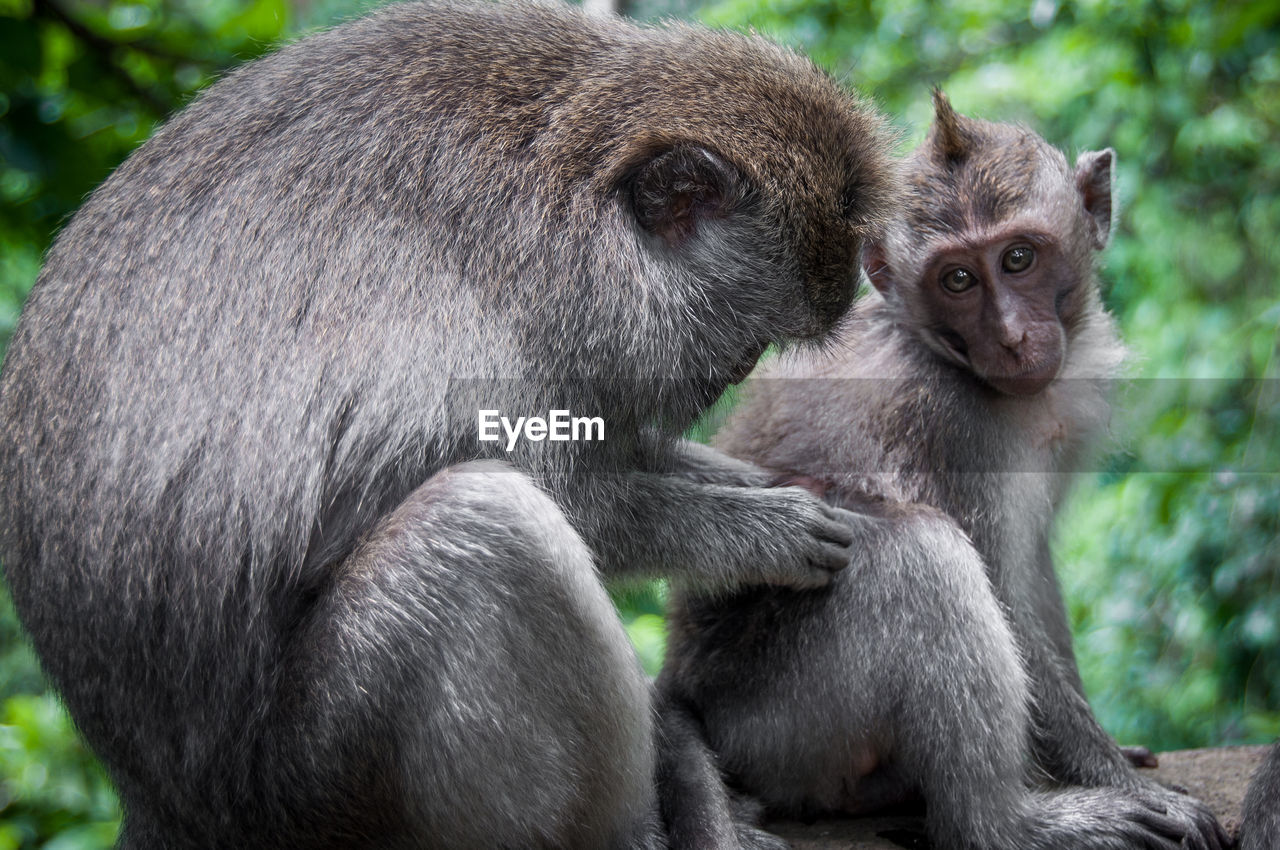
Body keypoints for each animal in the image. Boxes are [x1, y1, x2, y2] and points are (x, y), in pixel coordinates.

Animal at [0, 3, 901, 844]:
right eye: (744, 347)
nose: (722, 381)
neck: (564, 180)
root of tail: (166, 806)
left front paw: (775, 487)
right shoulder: (502, 324)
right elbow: (570, 497)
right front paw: (757, 533)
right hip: (322, 781)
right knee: (482, 524)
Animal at [660, 92, 1228, 850]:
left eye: (1018, 258)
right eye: (957, 279)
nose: (1012, 338)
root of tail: (680, 681)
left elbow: (1033, 572)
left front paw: (1112, 752)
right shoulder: (949, 422)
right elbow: (1003, 588)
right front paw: (1114, 777)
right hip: (774, 721)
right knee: (918, 551)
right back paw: (1008, 823)